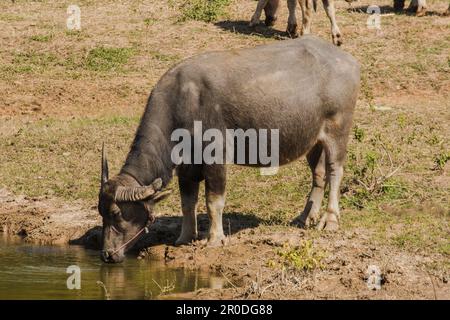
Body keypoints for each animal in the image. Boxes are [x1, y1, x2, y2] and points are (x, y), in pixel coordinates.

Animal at [97, 36, 358, 264]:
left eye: (117, 213)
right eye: (101, 211)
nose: (107, 255)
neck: (184, 103)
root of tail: (347, 59)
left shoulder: (215, 158)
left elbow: (214, 201)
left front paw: (214, 239)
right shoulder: (186, 166)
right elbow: (187, 202)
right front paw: (185, 237)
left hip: (337, 130)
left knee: (335, 171)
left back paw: (330, 220)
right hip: (313, 140)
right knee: (318, 174)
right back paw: (305, 217)